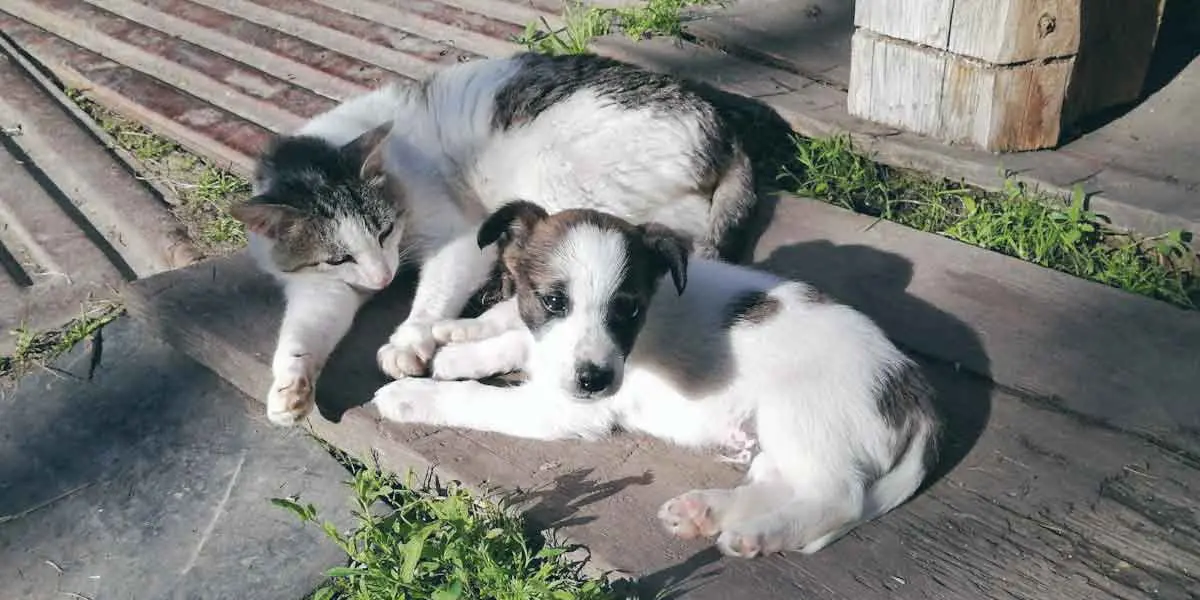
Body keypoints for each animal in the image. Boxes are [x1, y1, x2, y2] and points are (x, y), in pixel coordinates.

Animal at [369, 201, 940, 556]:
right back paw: (706, 512)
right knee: (783, 484)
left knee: (837, 498)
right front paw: (459, 351)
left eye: (628, 309)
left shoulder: (563, 409)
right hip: (777, 436)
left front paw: (412, 394)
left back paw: (758, 535)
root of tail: (915, 393)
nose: (595, 380)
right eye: (553, 301)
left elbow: (476, 399)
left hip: (800, 414)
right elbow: (516, 341)